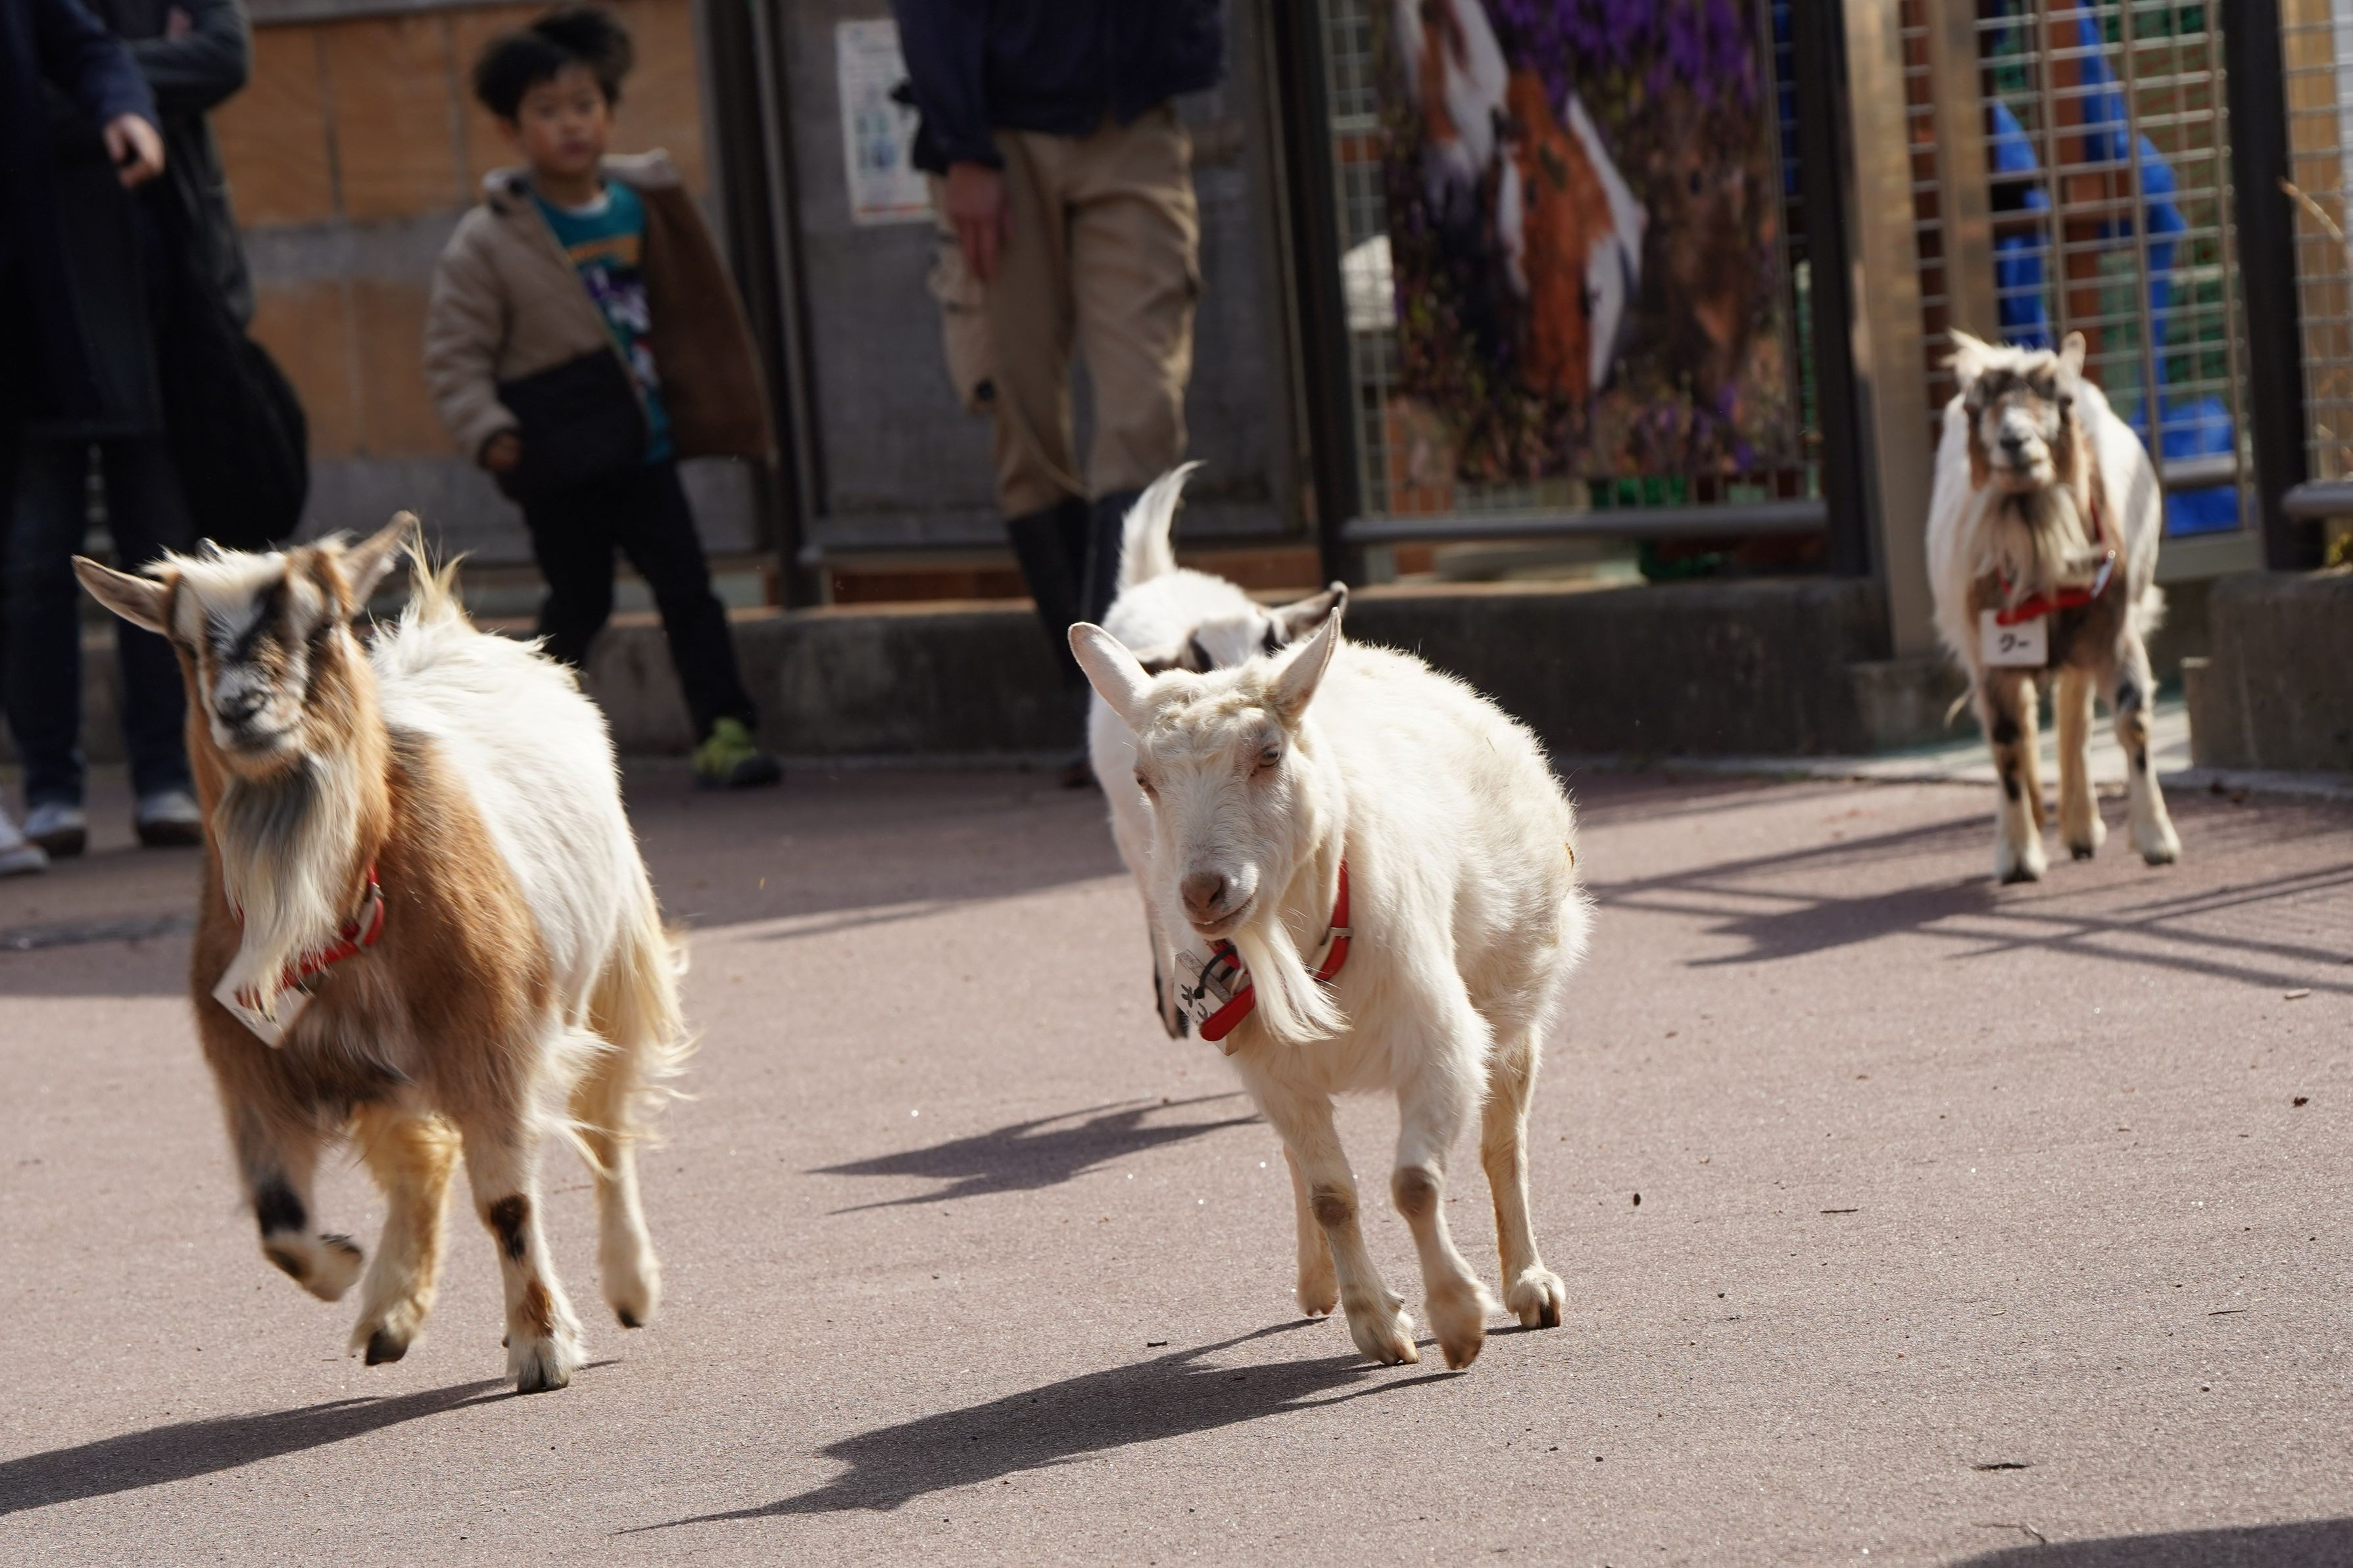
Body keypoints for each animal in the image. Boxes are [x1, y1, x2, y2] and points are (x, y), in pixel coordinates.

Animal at [73, 518, 687, 1394]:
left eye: (321, 623)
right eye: (185, 645)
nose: (242, 709)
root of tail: (451, 629)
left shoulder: (489, 1041)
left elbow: (508, 1202)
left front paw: (541, 1346)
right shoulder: (257, 1069)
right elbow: (279, 1225)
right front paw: (342, 1264)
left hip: (615, 968)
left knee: (608, 1128)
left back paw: (631, 1286)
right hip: (386, 1071)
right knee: (420, 1162)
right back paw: (390, 1313)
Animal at [1071, 593, 1588, 1370]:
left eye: (1268, 755)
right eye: (1144, 782)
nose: (1202, 892)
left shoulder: (1440, 1043)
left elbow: (1415, 1183)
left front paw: (1458, 1318)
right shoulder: (1275, 1075)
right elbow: (1331, 1195)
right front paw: (1377, 1323)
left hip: (1515, 1001)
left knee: (1505, 1145)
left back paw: (1529, 1284)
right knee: (1297, 1163)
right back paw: (1317, 1282)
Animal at [1926, 331, 2181, 883]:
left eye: (2061, 400)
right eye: (1976, 407)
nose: (2015, 441)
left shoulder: (2116, 630)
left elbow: (2132, 720)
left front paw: (2158, 839)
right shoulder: (1987, 653)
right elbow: (2005, 740)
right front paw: (2018, 856)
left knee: (2074, 712)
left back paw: (2081, 827)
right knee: (2020, 728)